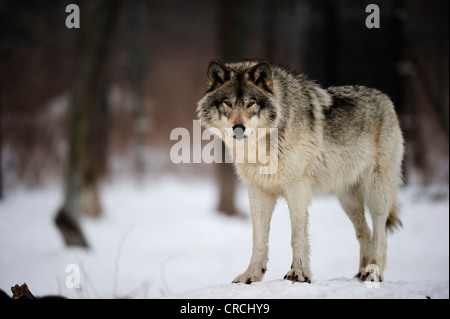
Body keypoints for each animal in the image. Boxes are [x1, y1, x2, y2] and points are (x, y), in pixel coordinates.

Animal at [197, 58, 404, 284]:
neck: (263, 145)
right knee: (365, 232)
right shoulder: (258, 191)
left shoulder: (297, 187)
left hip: (376, 192)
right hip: (348, 200)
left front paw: (299, 273)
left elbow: (297, 235)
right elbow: (258, 239)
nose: (238, 129)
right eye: (228, 103)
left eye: (251, 103)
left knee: (379, 232)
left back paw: (373, 271)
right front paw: (251, 275)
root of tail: (386, 98)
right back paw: (360, 273)